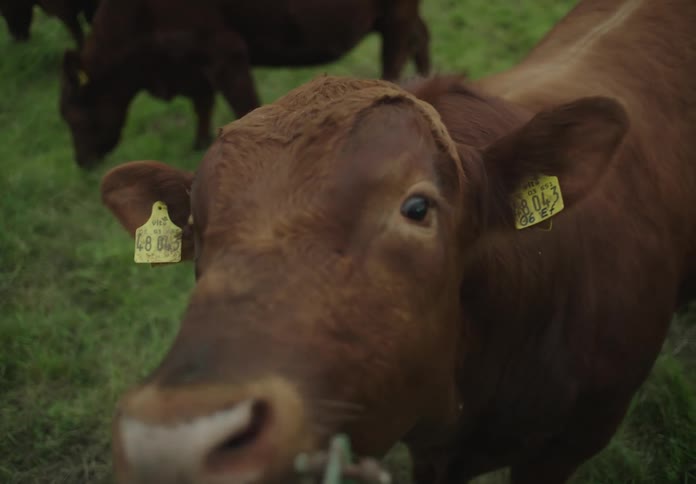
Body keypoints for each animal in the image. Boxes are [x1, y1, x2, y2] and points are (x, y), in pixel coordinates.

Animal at [58, 0, 431, 168]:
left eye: (74, 116)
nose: (81, 161)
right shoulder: (192, 62)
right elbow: (203, 103)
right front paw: (198, 143)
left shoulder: (226, 53)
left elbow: (244, 106)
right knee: (420, 37)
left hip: (395, 16)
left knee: (395, 59)